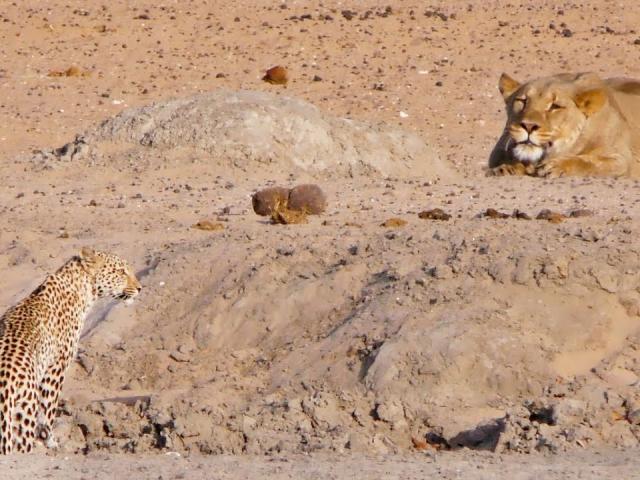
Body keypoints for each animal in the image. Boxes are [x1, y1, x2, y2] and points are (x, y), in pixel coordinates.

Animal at [0, 248, 141, 454]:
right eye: (121, 272)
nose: (140, 288)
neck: (84, 290)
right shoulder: (55, 369)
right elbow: (48, 412)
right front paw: (51, 442)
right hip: (23, 411)